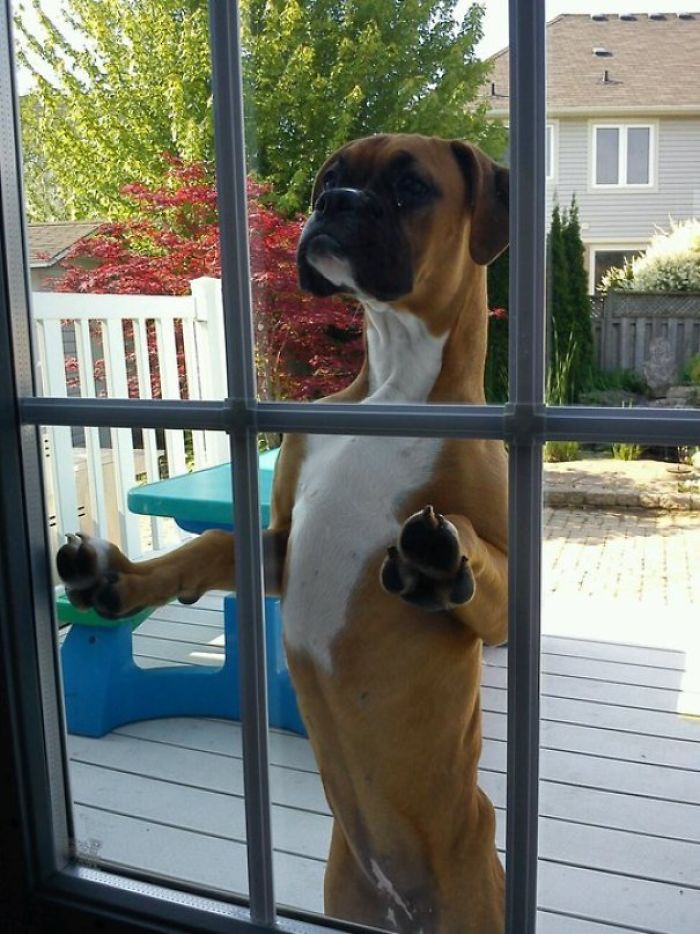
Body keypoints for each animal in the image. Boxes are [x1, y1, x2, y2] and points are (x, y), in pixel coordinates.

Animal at [57, 133, 508, 934]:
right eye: (333, 177)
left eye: (412, 186)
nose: (333, 203)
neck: (393, 387)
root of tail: (402, 899)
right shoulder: (280, 543)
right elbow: (210, 547)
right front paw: (123, 579)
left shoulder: (514, 598)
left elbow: (477, 557)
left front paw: (436, 560)